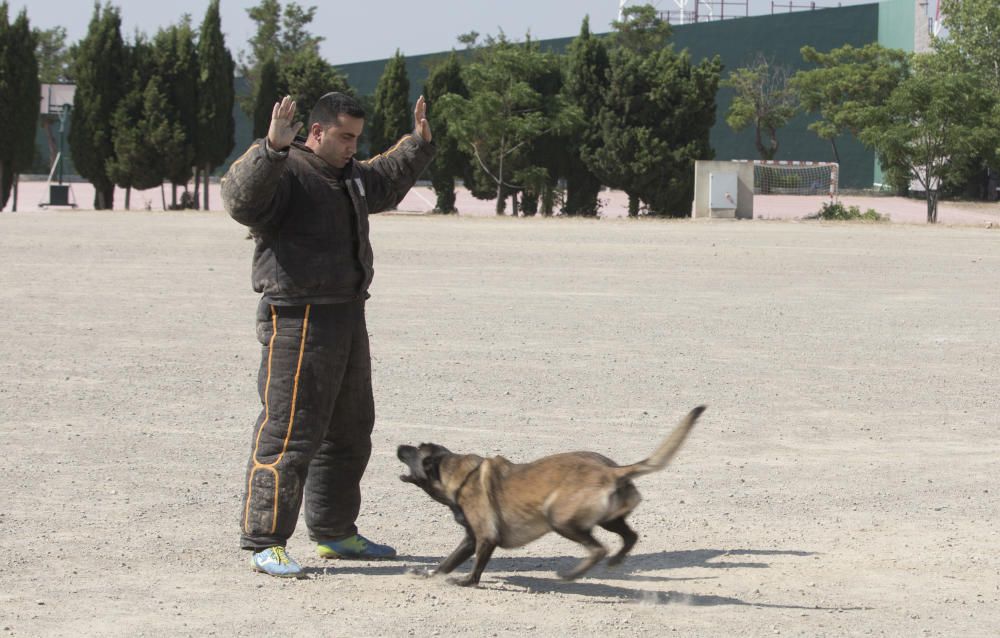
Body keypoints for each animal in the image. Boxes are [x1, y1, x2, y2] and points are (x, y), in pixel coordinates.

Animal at [396, 408, 704, 588]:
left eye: (415, 451)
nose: (399, 446)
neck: (459, 474)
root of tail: (611, 470)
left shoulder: (485, 538)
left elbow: (474, 567)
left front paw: (466, 582)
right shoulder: (471, 539)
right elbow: (446, 562)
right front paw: (429, 574)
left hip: (559, 519)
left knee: (598, 548)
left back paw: (572, 574)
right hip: (608, 519)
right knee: (630, 537)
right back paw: (615, 561)